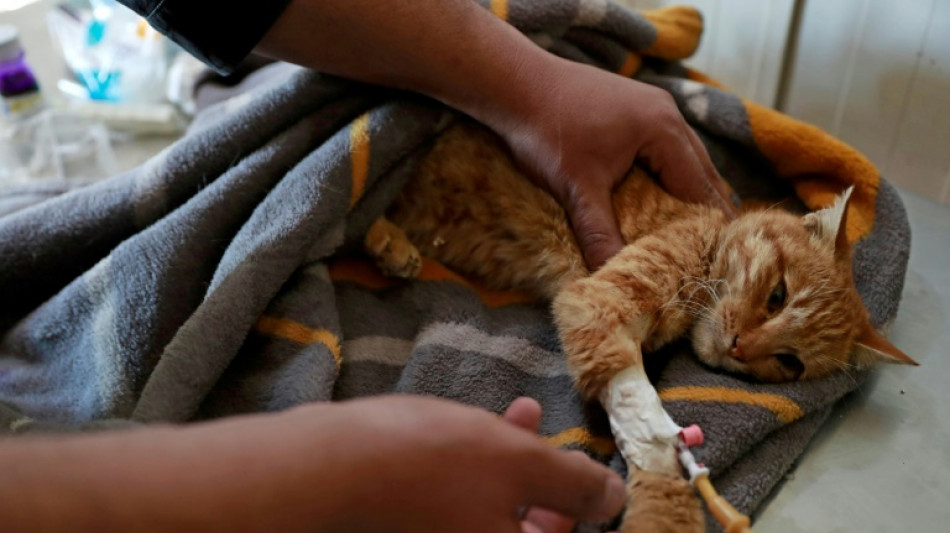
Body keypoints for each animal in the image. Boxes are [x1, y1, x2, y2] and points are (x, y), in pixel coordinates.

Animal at [364, 118, 916, 528]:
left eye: (789, 363)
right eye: (778, 295)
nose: (740, 347)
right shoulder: (597, 301)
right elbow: (646, 425)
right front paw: (663, 512)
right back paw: (387, 241)